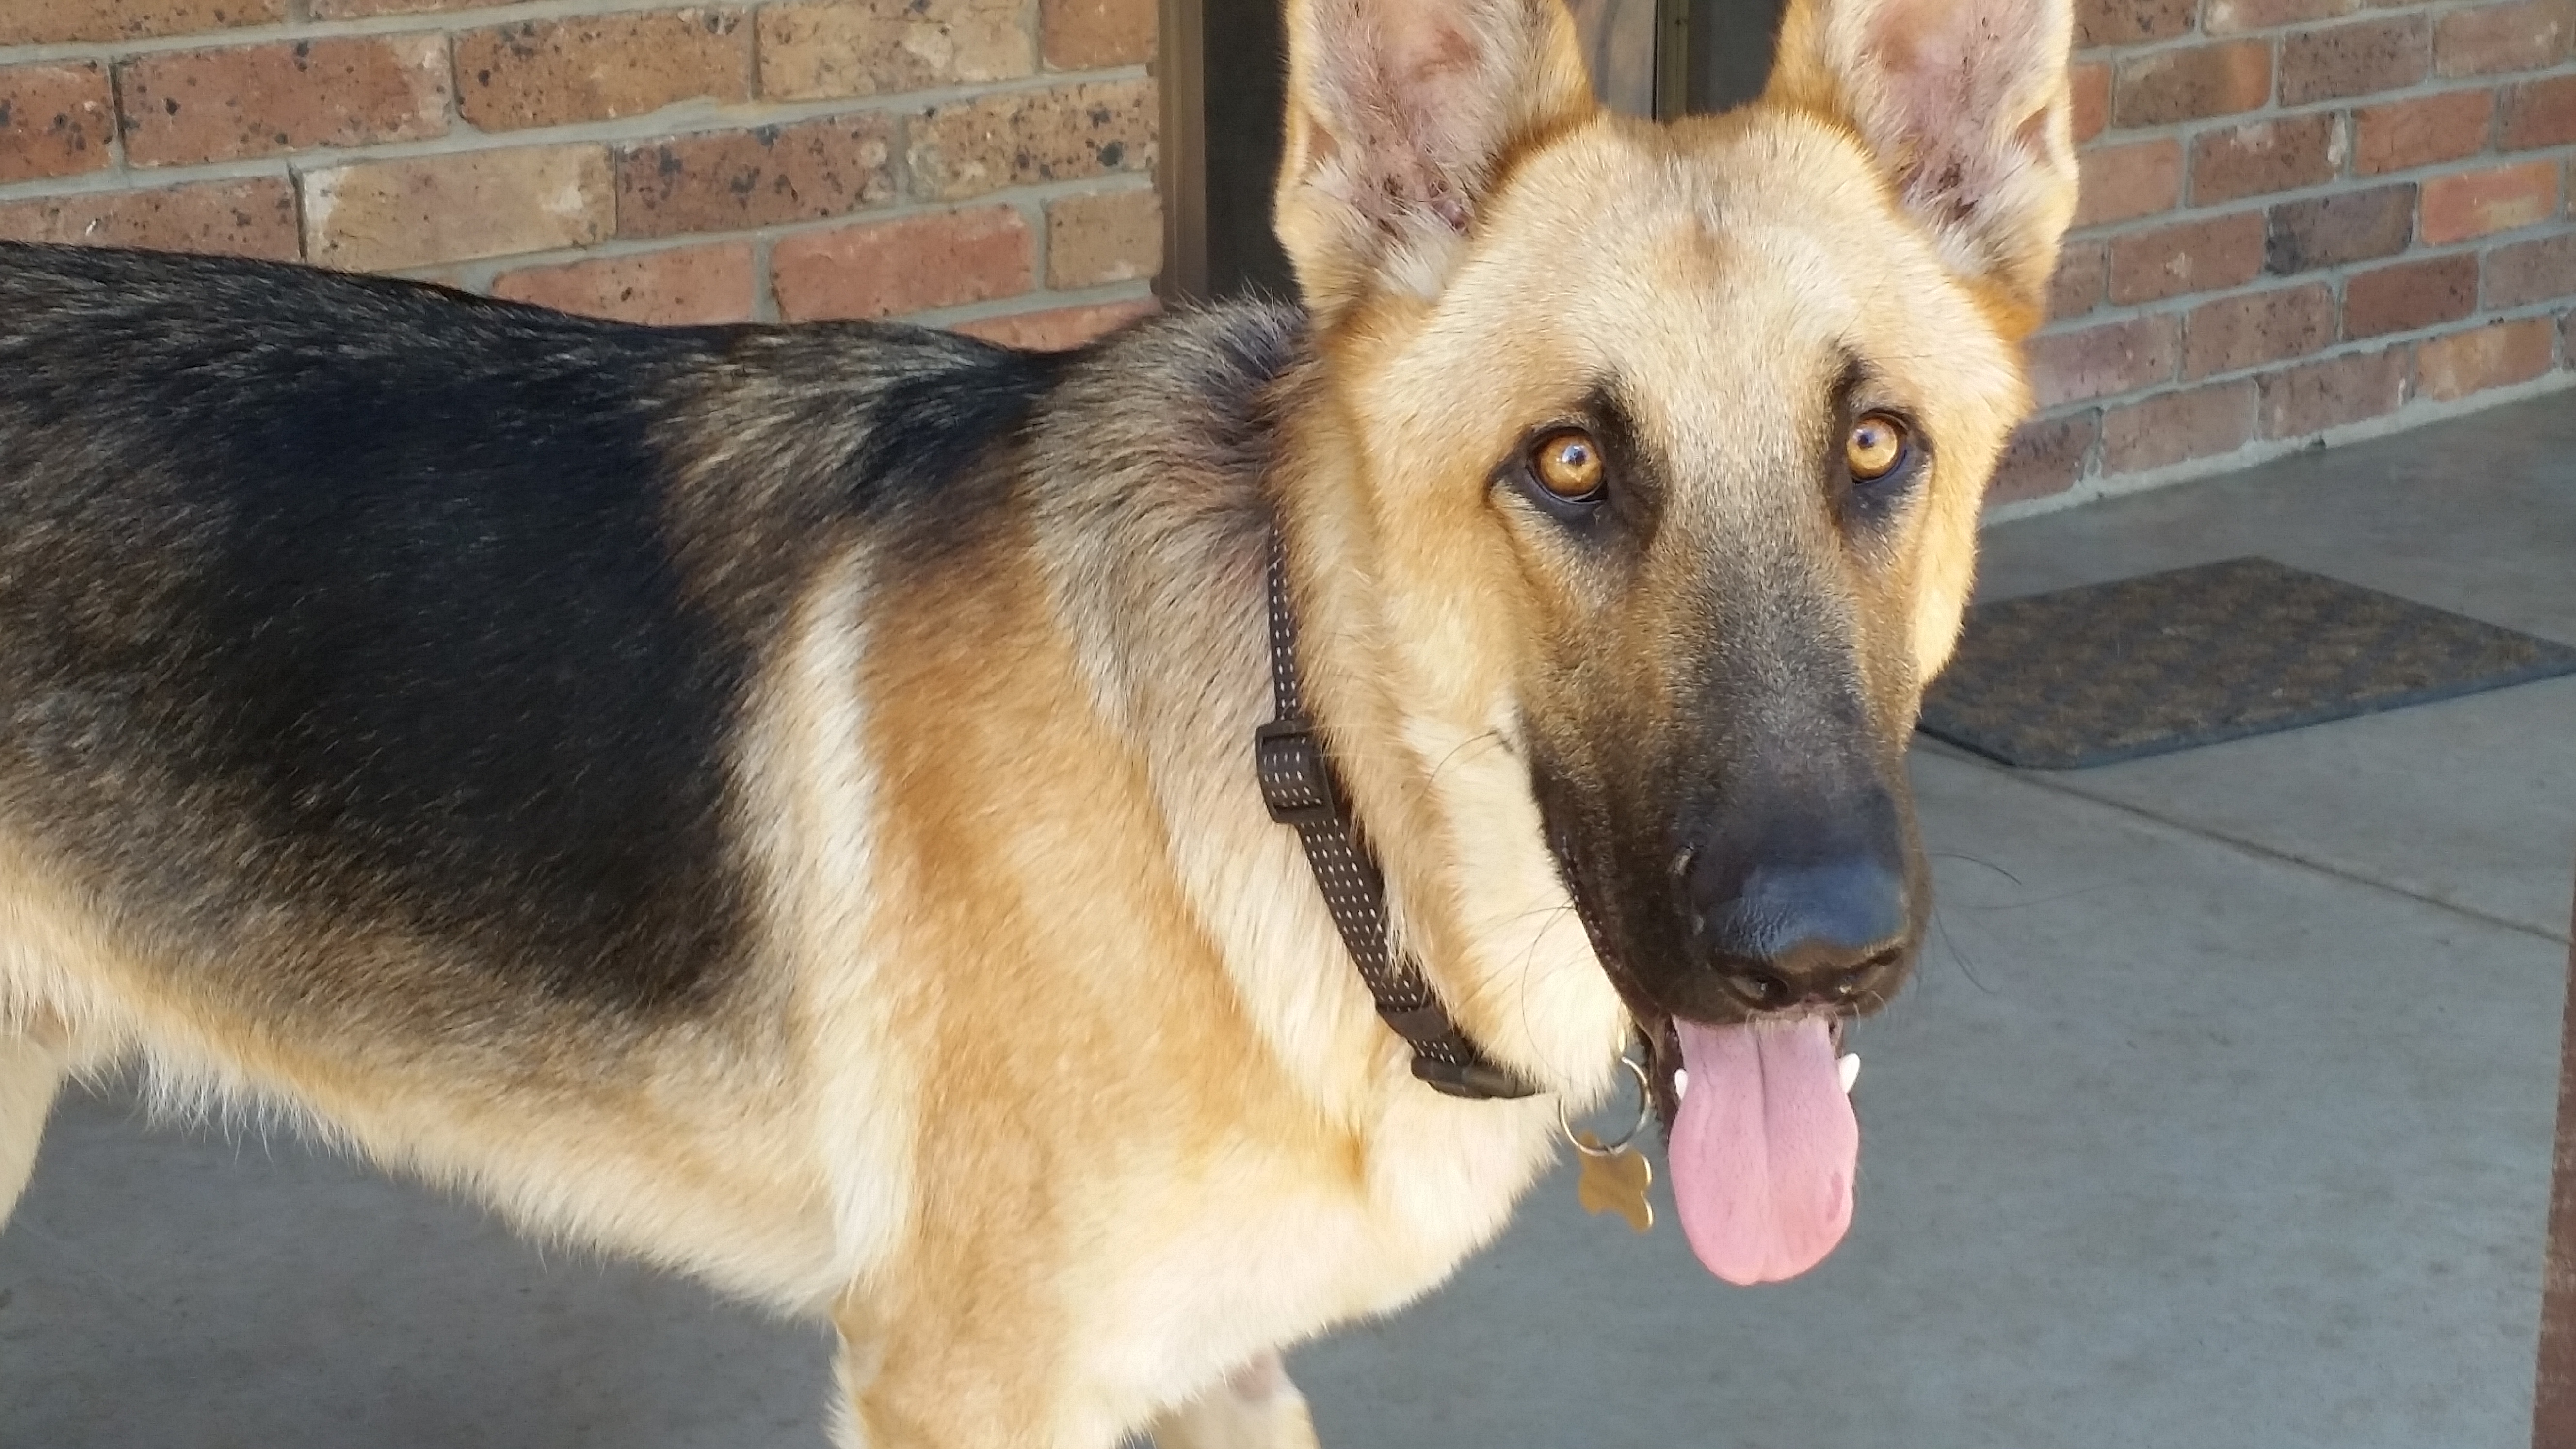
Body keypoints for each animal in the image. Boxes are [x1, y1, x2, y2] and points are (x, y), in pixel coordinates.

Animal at [0, 0, 2075, 1441]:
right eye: (1566, 463)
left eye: (1873, 447)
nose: (1817, 955)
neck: (1307, 789)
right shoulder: (963, 1386)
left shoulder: (1218, 1374)